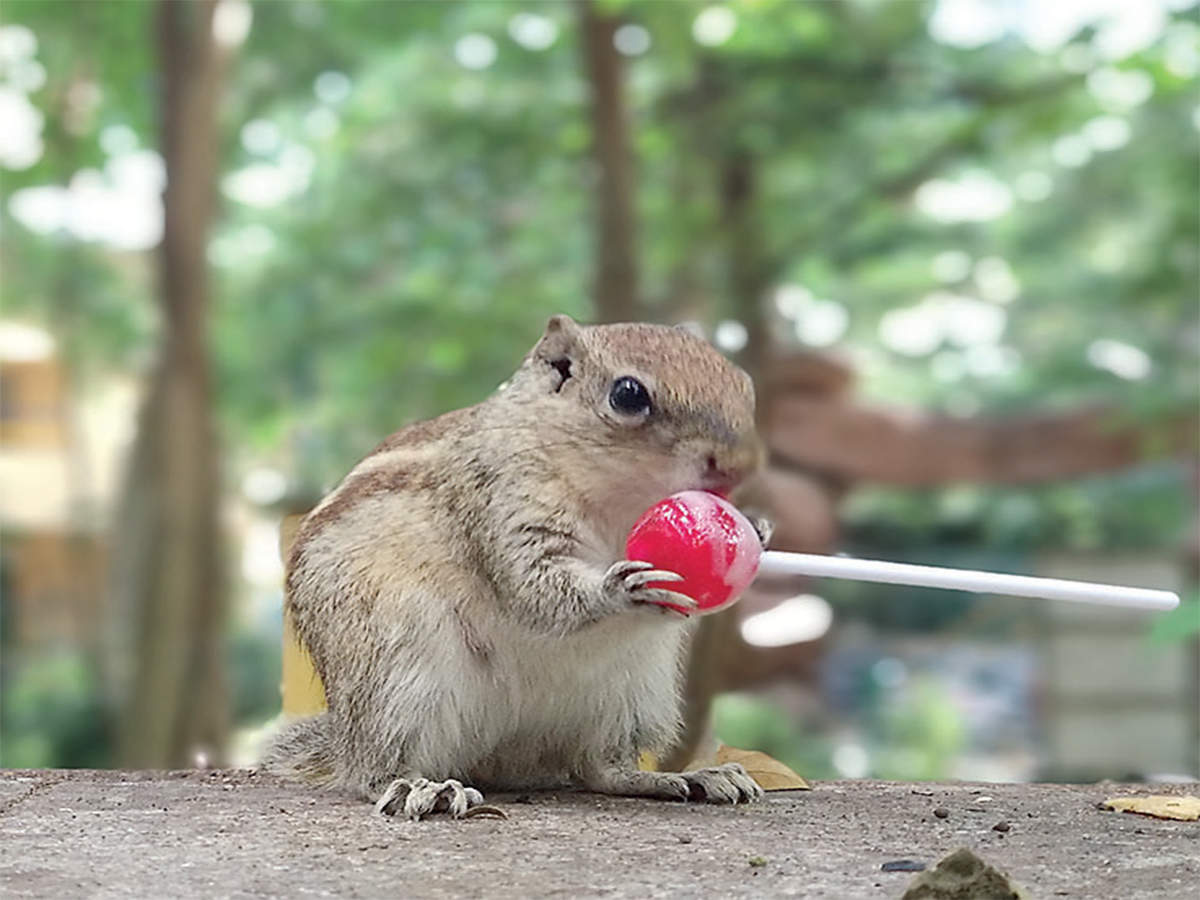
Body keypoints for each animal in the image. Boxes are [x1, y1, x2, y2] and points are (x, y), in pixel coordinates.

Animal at [262, 314, 768, 820]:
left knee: (600, 769)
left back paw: (685, 778)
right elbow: (534, 587)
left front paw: (760, 531)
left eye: (745, 388)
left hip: (635, 690)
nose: (737, 467)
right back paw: (417, 786)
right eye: (628, 394)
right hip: (395, 674)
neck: (616, 499)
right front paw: (621, 589)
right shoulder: (499, 503)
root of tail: (500, 753)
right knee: (372, 767)